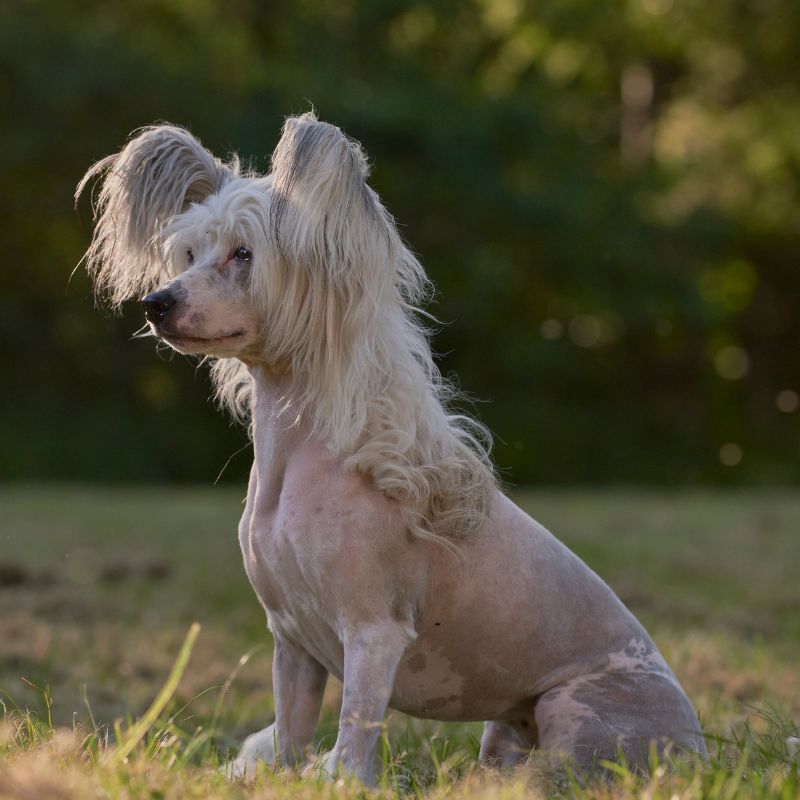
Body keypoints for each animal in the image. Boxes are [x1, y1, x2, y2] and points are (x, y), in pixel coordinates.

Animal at [76, 112, 708, 780]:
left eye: (244, 255)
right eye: (190, 254)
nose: (156, 303)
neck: (293, 459)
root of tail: (697, 741)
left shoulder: (373, 633)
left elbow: (355, 724)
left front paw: (340, 780)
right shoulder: (291, 643)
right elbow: (290, 734)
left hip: (576, 709)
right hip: (504, 727)